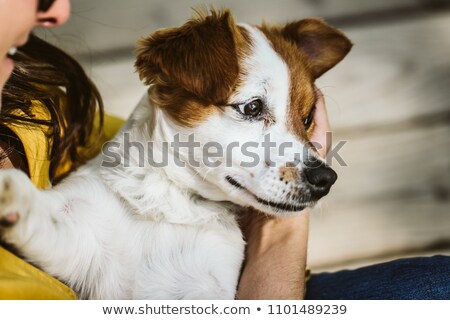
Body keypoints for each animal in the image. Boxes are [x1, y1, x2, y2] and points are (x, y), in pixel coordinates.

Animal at [0, 10, 352, 300]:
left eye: (306, 119)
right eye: (252, 107)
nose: (326, 178)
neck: (171, 201)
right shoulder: (80, 235)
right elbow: (49, 222)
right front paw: (13, 196)